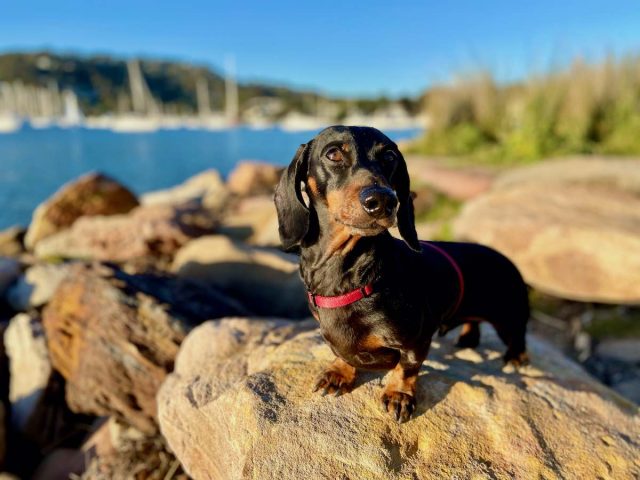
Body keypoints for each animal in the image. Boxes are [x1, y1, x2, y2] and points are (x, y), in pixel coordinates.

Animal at [276, 125, 528, 422]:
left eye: (389, 157)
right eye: (333, 154)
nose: (383, 200)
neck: (347, 273)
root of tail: (504, 258)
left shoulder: (416, 338)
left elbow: (407, 367)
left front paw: (399, 394)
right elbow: (342, 353)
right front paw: (339, 372)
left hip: (508, 316)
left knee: (518, 334)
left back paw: (516, 357)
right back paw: (467, 337)